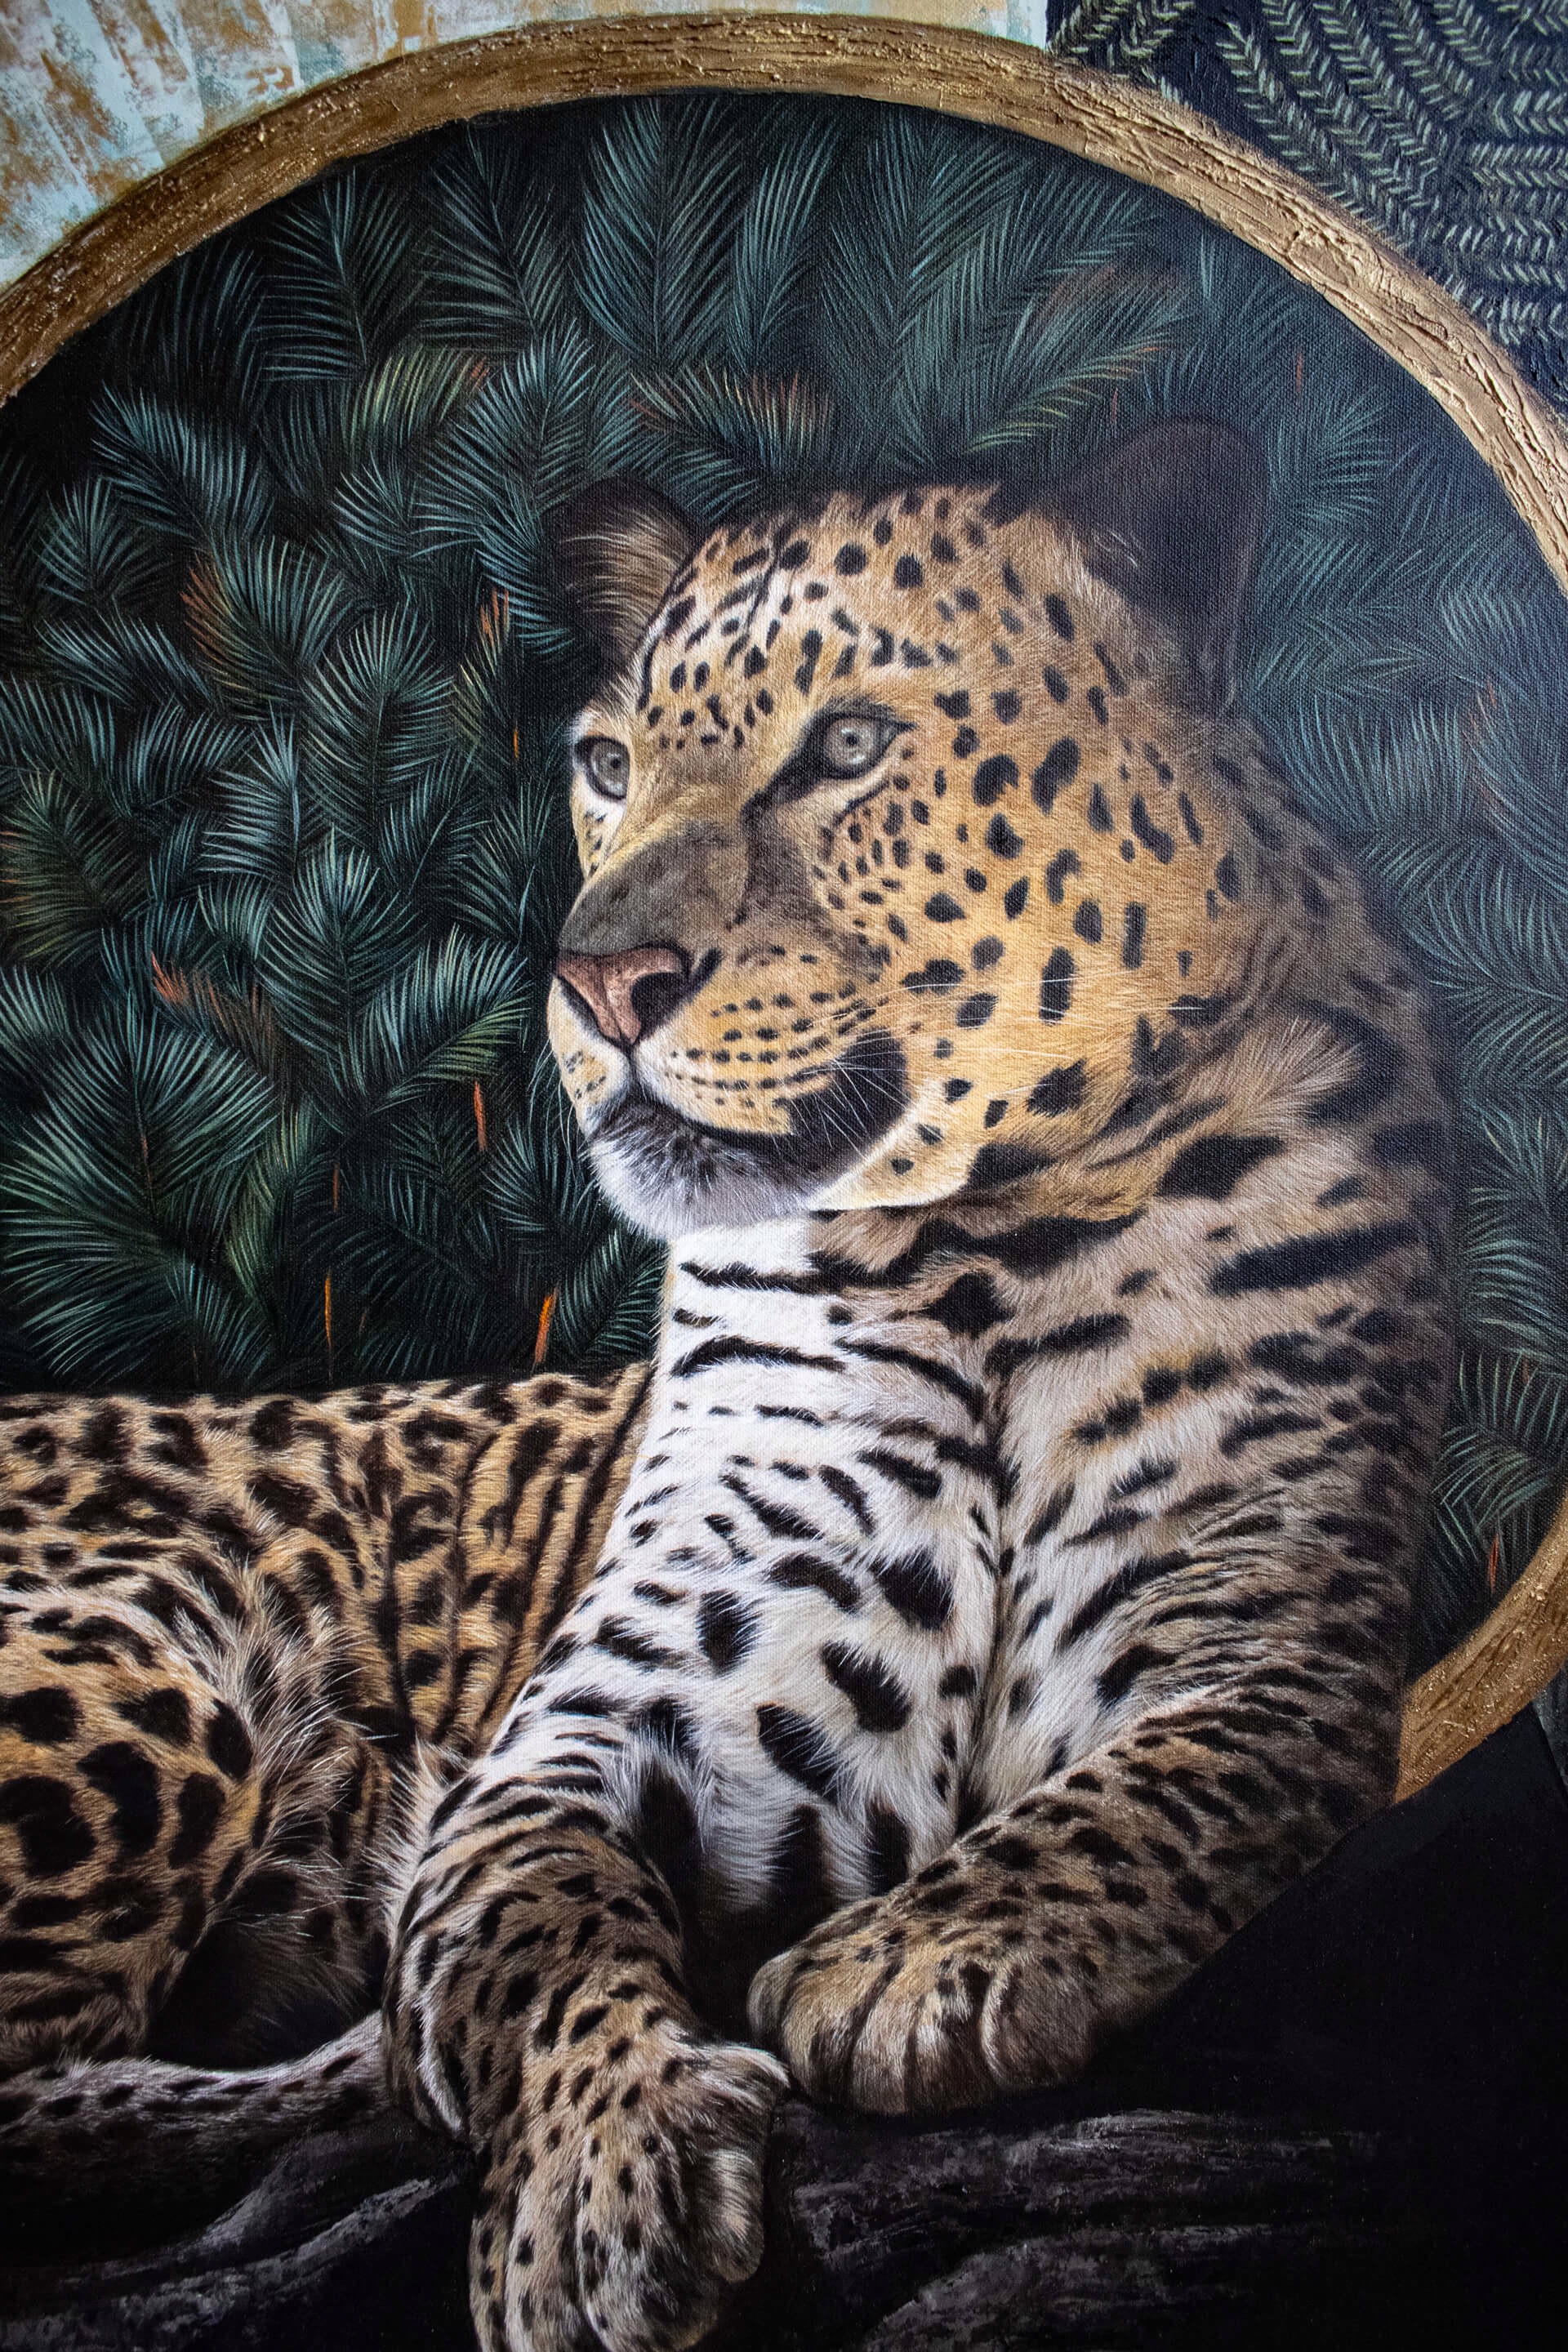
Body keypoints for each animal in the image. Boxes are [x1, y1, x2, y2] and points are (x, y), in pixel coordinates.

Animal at [0, 419, 1454, 2352]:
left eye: (845, 750)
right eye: (609, 767)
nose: (601, 983)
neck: (981, 1259)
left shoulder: (1263, 1641)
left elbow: (1160, 1787)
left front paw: (924, 1957)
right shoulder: (608, 1722)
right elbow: (526, 1914)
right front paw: (595, 2189)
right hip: (150, 1662)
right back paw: (353, 2071)